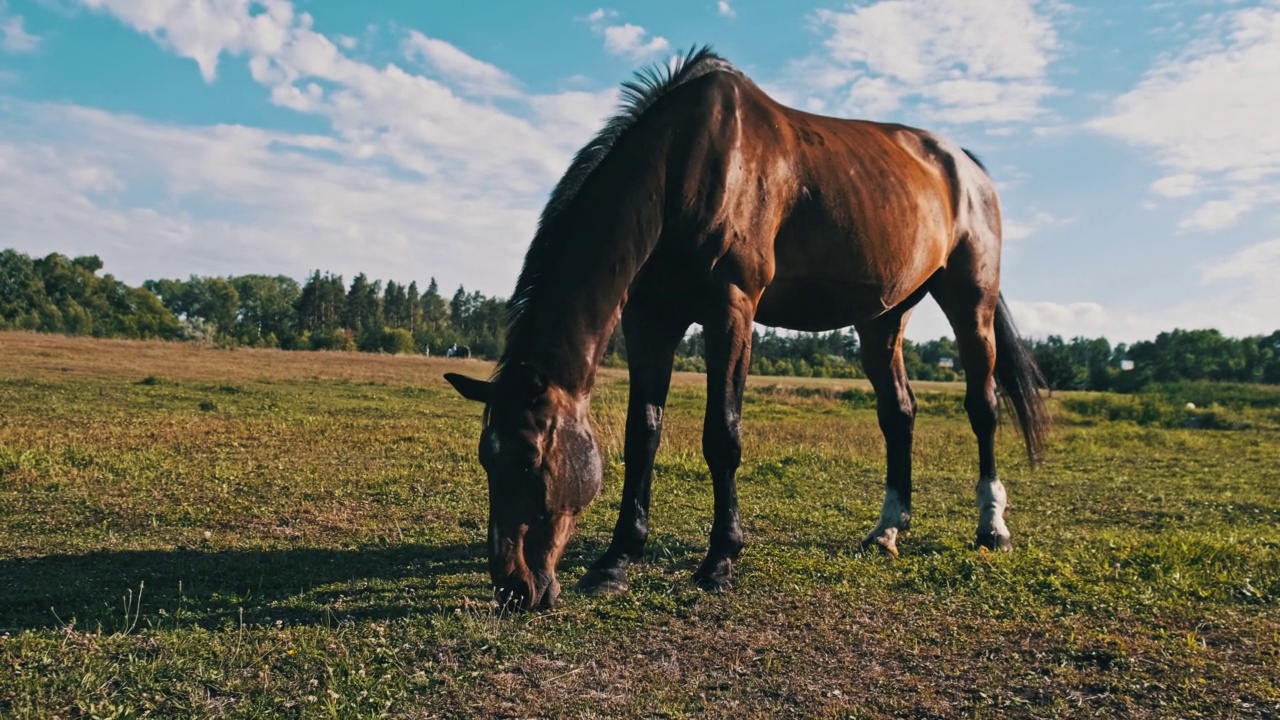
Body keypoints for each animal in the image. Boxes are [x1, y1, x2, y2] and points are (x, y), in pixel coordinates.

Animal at [445, 44, 1044, 607]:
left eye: (531, 458)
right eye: (487, 458)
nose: (514, 587)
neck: (686, 164)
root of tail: (964, 166)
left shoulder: (731, 310)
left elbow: (723, 435)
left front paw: (720, 560)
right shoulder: (649, 318)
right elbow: (643, 433)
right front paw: (616, 560)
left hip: (971, 302)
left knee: (983, 408)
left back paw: (992, 526)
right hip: (883, 318)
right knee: (898, 413)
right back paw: (886, 531)